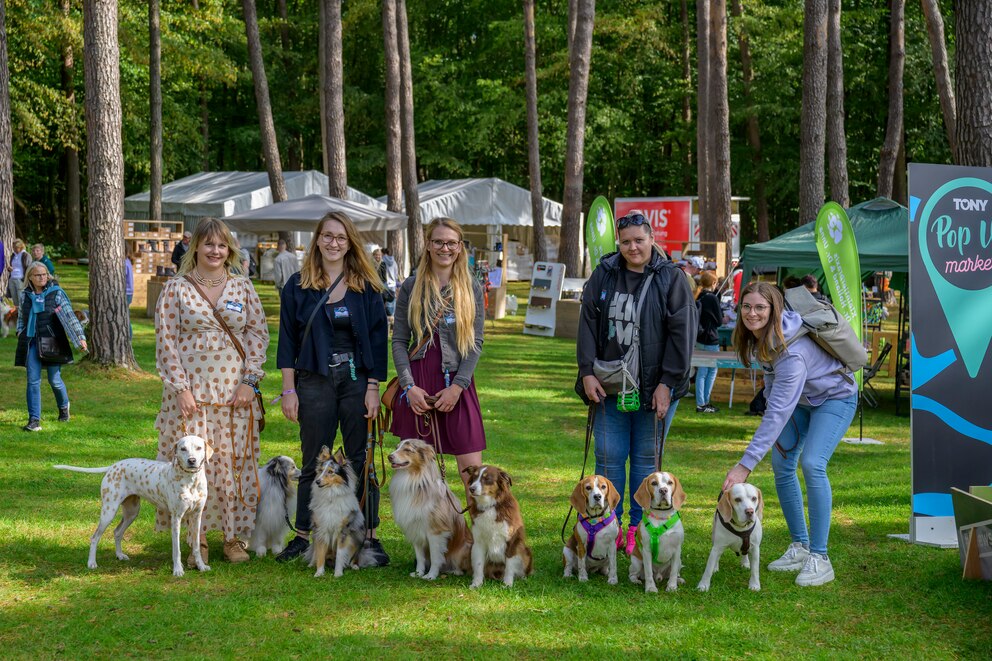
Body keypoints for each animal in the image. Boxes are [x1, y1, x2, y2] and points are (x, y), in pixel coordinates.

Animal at [54, 436, 213, 576]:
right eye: (183, 448)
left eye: (199, 448)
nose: (191, 460)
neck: (191, 481)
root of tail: (113, 466)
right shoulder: (176, 518)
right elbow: (176, 549)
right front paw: (178, 570)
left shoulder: (197, 517)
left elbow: (196, 546)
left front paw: (201, 566)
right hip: (108, 512)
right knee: (95, 537)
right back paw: (92, 563)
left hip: (132, 512)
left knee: (117, 532)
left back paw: (120, 555)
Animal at [388, 440, 472, 580]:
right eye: (396, 448)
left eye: (407, 450)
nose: (389, 456)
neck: (414, 480)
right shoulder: (415, 529)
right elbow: (420, 557)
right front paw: (418, 573)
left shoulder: (436, 531)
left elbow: (435, 557)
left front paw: (431, 575)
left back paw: (455, 571)